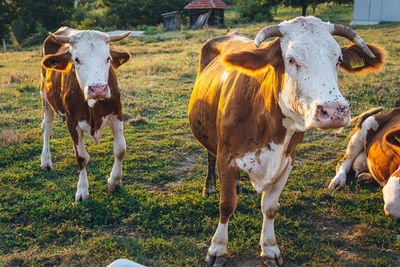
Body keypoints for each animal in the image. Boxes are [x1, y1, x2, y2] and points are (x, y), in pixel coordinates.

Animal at [39, 27, 130, 203]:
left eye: (108, 58)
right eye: (76, 59)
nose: (98, 89)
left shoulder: (117, 113)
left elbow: (120, 149)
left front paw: (114, 181)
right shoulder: (71, 121)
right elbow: (81, 157)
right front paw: (82, 189)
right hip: (46, 99)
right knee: (47, 127)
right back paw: (46, 161)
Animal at [188, 16, 384, 266]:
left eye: (338, 59)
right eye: (291, 59)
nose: (334, 111)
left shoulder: (287, 160)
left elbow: (271, 207)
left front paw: (270, 248)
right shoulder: (226, 156)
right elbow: (227, 204)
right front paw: (218, 248)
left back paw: (238, 183)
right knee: (209, 156)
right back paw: (211, 187)